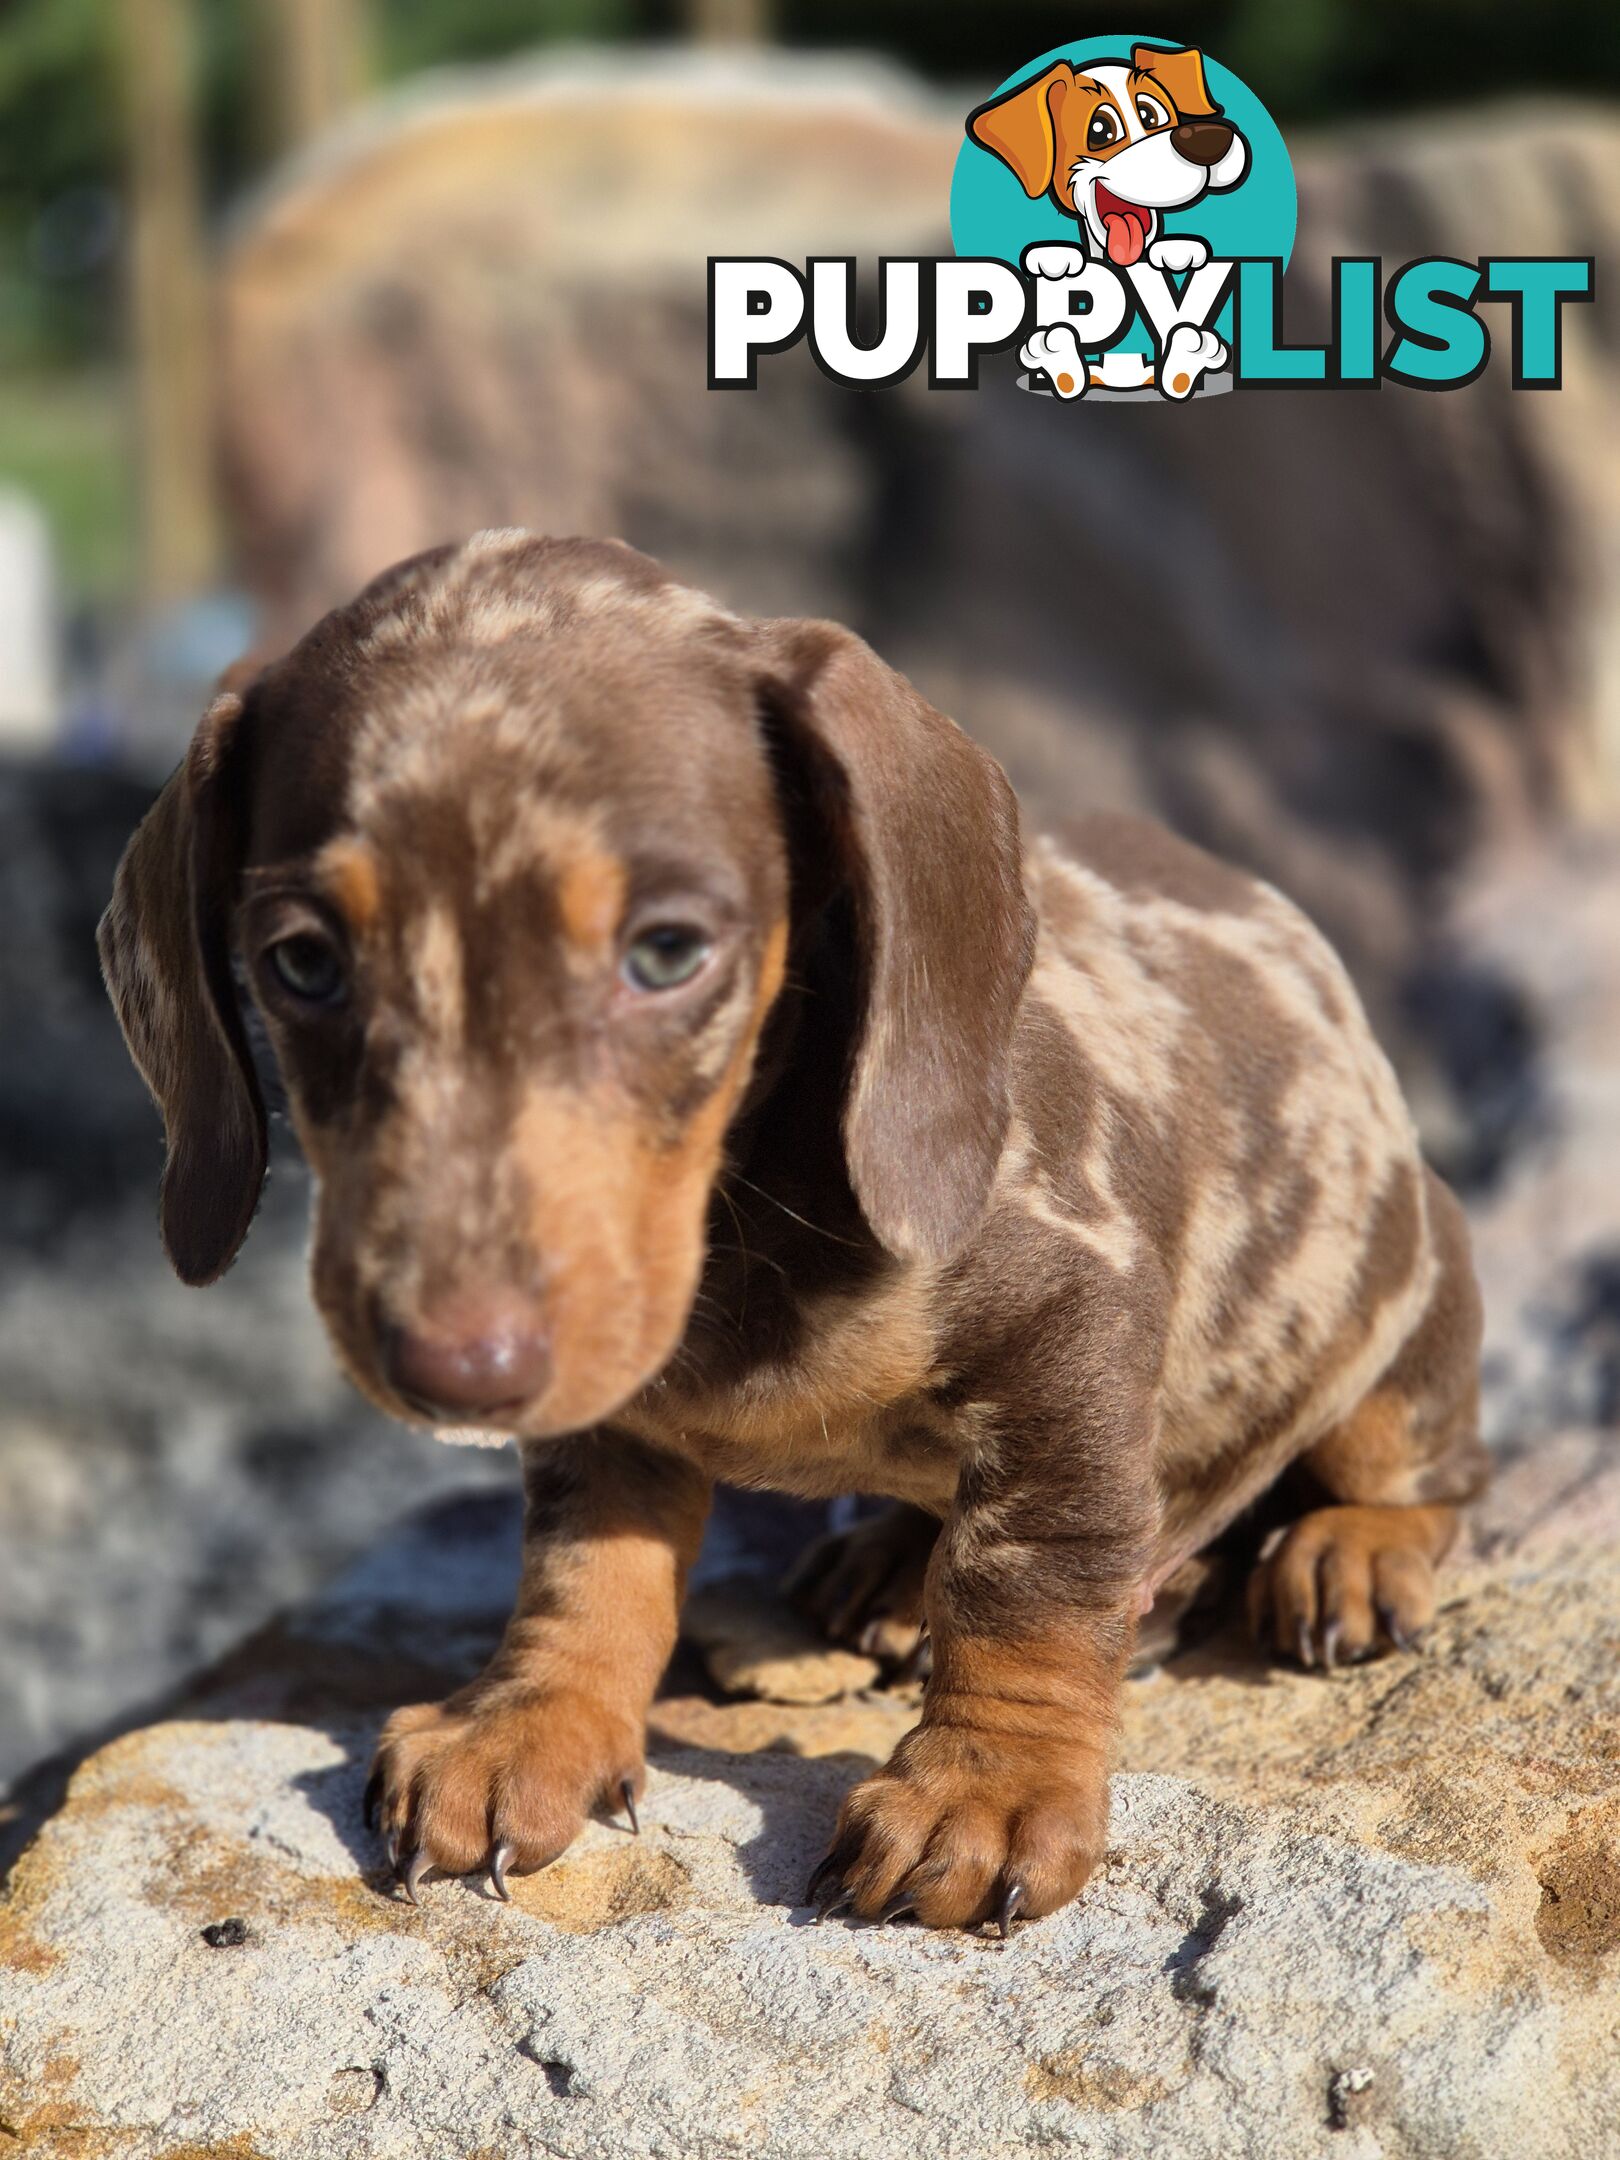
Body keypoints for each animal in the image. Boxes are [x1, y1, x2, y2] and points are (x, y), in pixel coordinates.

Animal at [98, 531, 1486, 1935]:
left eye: (668, 951)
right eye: (302, 964)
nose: (455, 1370)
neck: (744, 1203)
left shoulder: (1075, 1328)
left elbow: (1031, 1578)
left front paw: (987, 1786)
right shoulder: (608, 1404)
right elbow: (585, 1572)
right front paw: (527, 1722)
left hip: (1405, 1317)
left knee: (1426, 1473)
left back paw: (1346, 1553)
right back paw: (890, 1564)